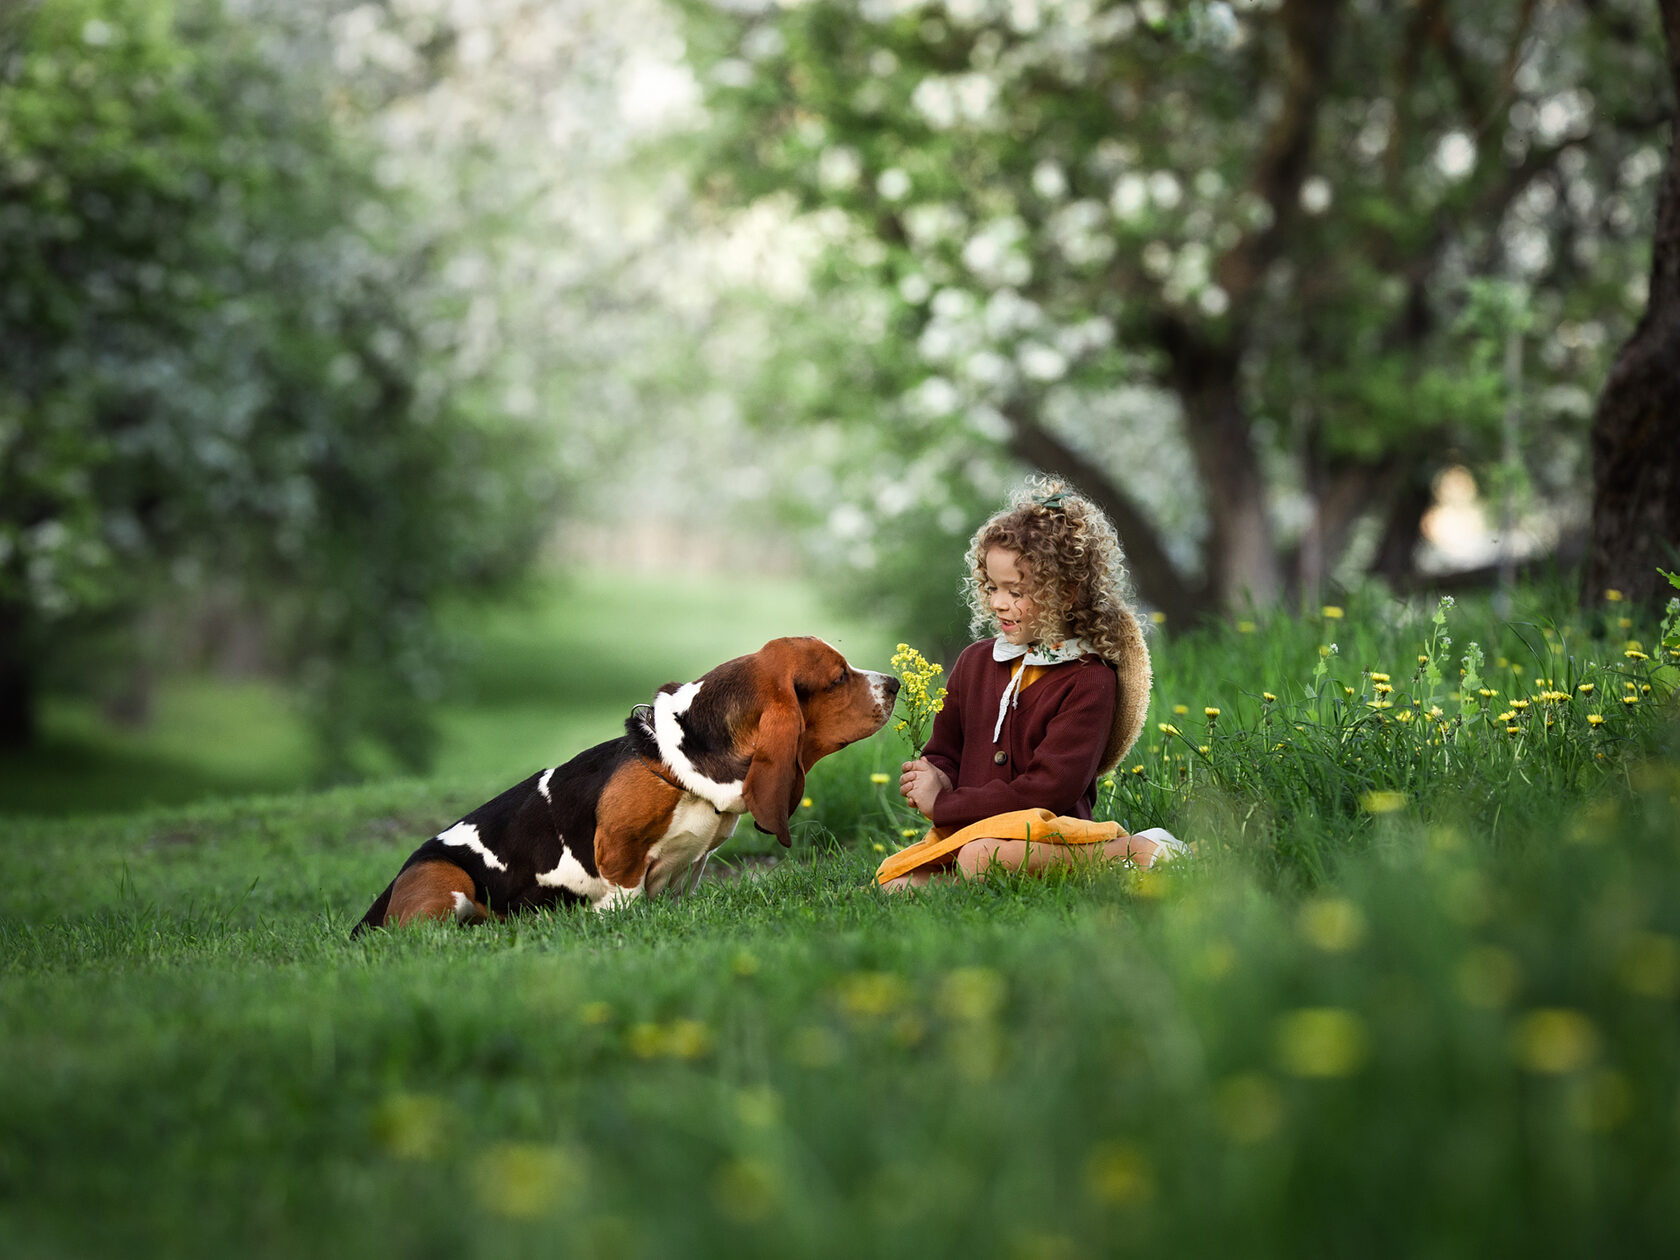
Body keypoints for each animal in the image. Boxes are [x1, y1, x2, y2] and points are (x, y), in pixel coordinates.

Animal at [349, 641, 900, 940]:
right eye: (838, 677)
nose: (894, 682)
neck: (680, 762)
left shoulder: (693, 865)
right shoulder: (618, 849)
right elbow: (626, 893)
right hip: (447, 882)